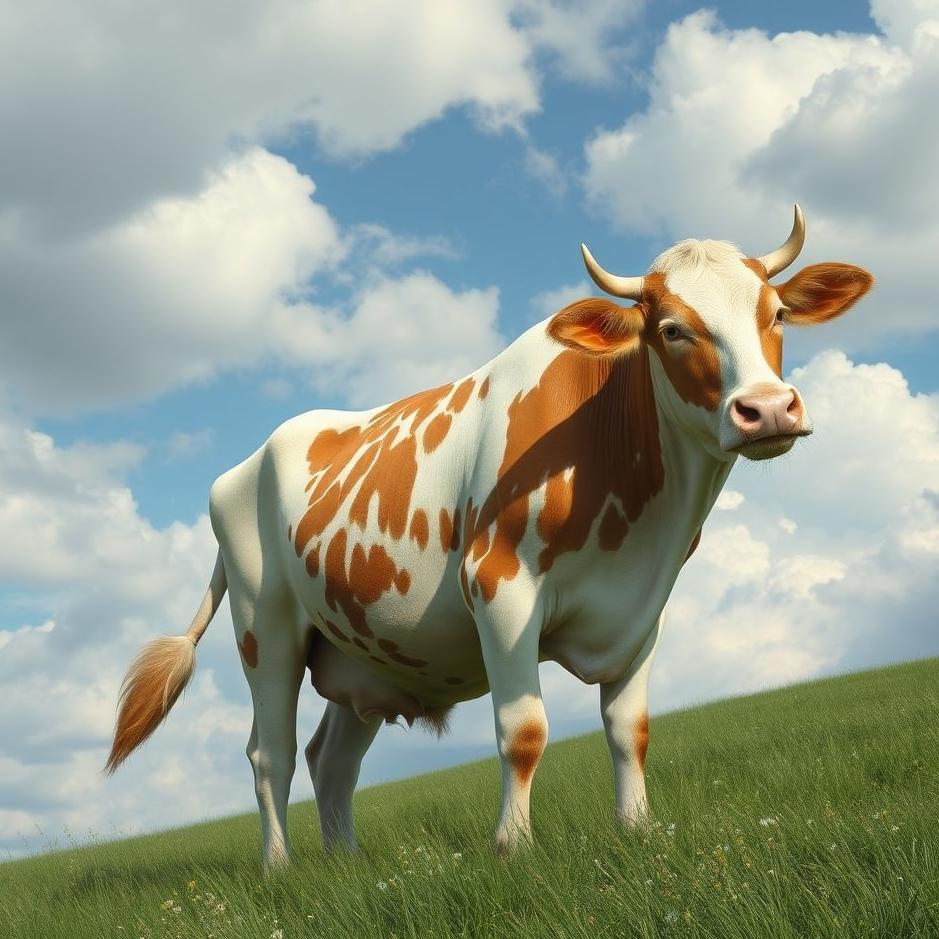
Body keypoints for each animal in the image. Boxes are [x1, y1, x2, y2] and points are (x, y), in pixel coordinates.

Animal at [106, 206, 873, 870]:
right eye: (672, 329)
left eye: (776, 314)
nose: (767, 409)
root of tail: (246, 461)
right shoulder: (500, 585)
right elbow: (524, 730)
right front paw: (514, 847)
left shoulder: (642, 611)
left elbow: (630, 729)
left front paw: (637, 830)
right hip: (263, 626)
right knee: (272, 754)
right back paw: (280, 868)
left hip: (361, 649)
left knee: (333, 760)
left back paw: (345, 863)